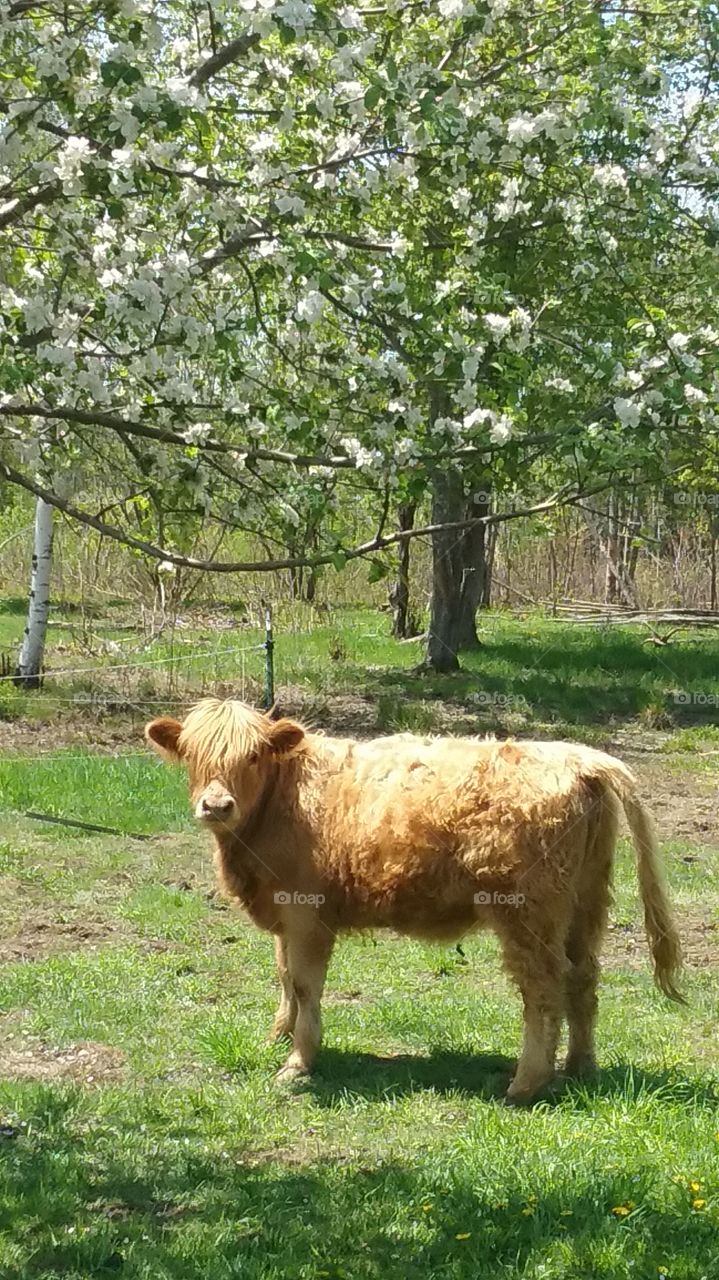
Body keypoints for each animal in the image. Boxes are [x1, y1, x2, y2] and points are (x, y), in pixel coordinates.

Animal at [145, 698, 683, 1102]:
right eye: (192, 754)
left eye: (253, 756)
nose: (216, 805)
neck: (281, 802)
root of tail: (581, 759)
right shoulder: (284, 913)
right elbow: (283, 977)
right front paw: (279, 1035)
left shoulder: (305, 913)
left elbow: (303, 984)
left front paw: (298, 1062)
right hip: (586, 902)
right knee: (583, 977)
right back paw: (579, 1067)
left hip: (528, 912)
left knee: (545, 988)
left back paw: (526, 1084)